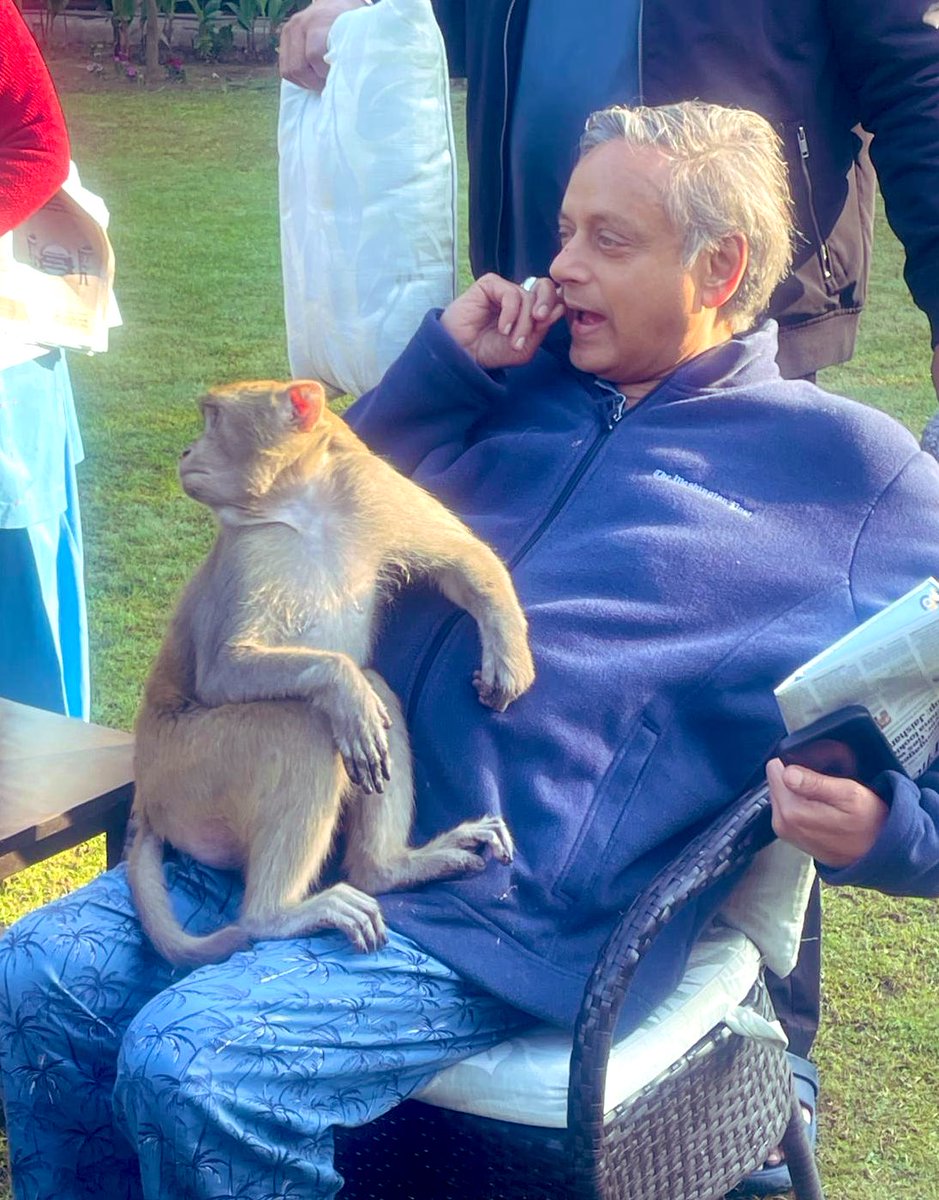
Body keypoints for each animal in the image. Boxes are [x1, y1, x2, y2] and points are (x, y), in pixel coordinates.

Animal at [128, 379, 535, 968]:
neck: (303, 504)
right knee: (305, 727)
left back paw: (388, 869)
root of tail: (147, 799)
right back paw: (274, 916)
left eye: (212, 419)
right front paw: (342, 685)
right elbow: (223, 673)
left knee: (375, 695)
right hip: (188, 772)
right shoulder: (247, 554)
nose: (184, 453)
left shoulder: (373, 490)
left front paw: (506, 654)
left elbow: (460, 560)